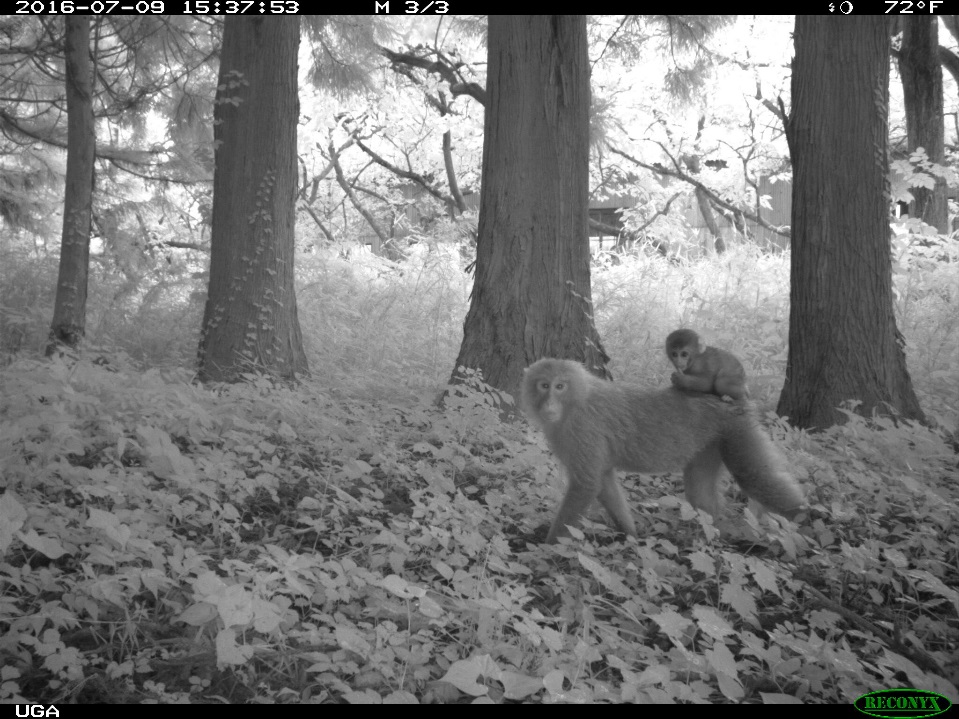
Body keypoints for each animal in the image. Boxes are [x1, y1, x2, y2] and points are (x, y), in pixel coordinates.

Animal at [520, 358, 808, 544]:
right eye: (544, 385)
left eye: (560, 386)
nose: (549, 404)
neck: (575, 402)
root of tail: (731, 400)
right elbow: (603, 482)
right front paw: (631, 536)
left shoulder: (582, 429)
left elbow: (586, 485)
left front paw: (547, 548)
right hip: (714, 442)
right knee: (700, 492)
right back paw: (713, 538)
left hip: (739, 431)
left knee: (754, 477)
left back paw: (808, 519)